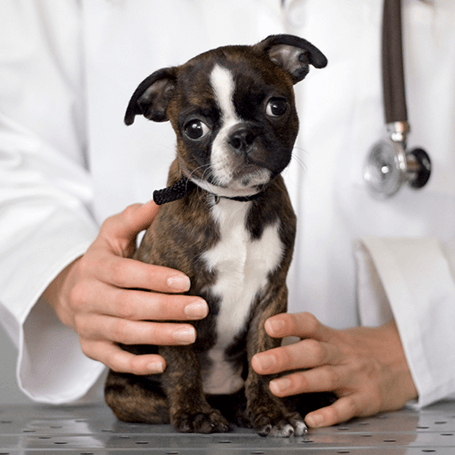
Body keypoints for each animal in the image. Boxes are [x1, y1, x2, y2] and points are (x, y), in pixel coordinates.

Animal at [105, 34, 330, 438]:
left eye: (277, 106)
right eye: (194, 128)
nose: (241, 135)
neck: (235, 205)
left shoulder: (271, 298)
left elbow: (262, 361)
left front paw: (270, 413)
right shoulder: (173, 304)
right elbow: (183, 364)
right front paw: (195, 413)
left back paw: (244, 409)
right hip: (126, 392)